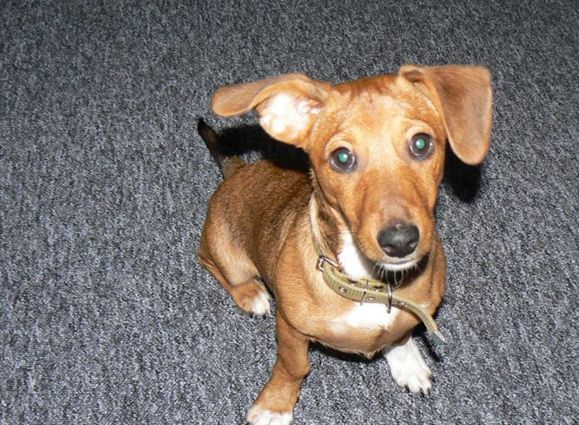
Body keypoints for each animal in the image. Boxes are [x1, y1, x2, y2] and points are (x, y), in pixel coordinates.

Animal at [198, 65, 492, 424]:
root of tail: (238, 170)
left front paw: (406, 360)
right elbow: (294, 367)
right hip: (228, 258)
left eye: (421, 144)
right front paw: (275, 404)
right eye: (342, 157)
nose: (400, 242)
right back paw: (251, 293)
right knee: (213, 265)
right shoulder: (290, 329)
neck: (369, 283)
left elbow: (401, 334)